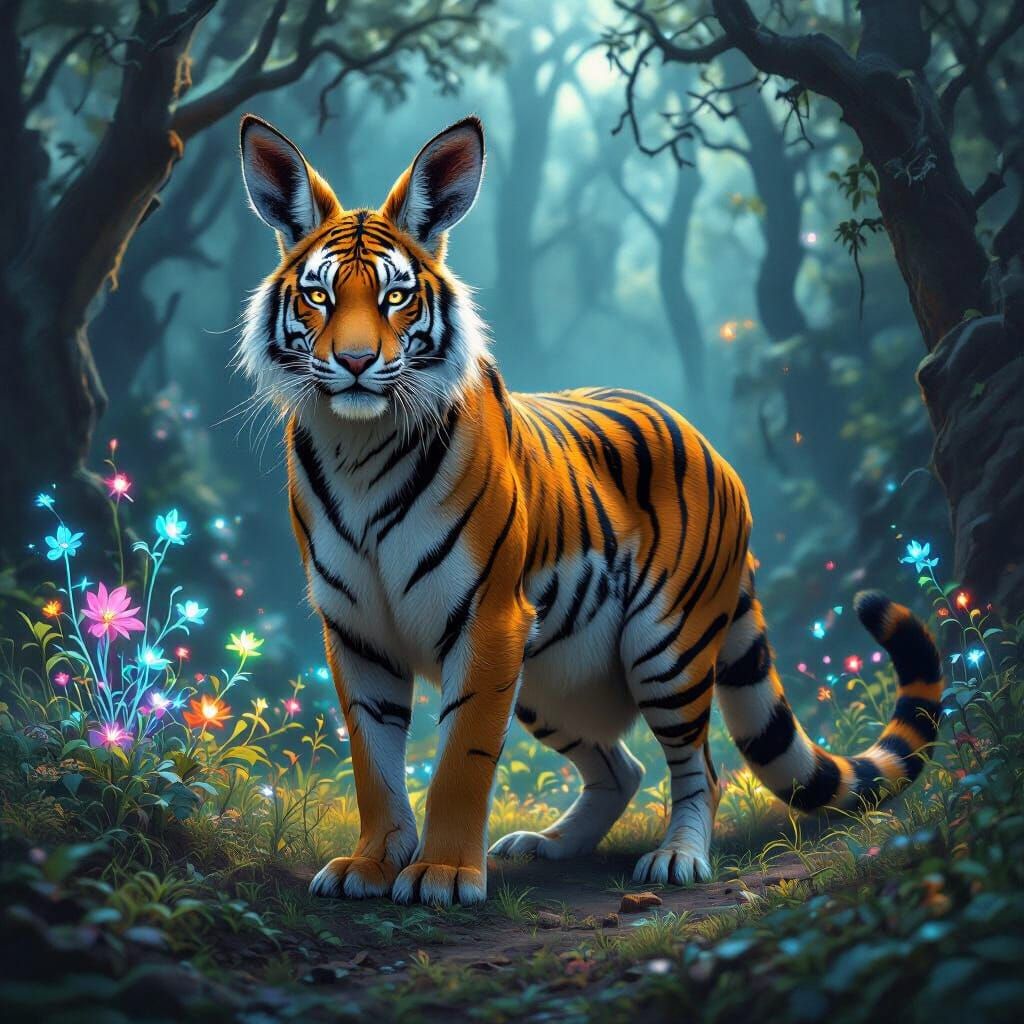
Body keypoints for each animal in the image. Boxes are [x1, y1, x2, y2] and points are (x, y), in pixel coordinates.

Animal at [237, 113, 944, 907]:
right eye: (319, 296)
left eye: (394, 298)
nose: (356, 363)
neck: (359, 446)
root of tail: (714, 449)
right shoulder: (356, 631)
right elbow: (374, 762)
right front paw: (371, 864)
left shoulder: (488, 621)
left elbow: (461, 760)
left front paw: (443, 875)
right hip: (548, 675)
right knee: (622, 768)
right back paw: (547, 846)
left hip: (664, 647)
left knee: (701, 769)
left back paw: (678, 858)